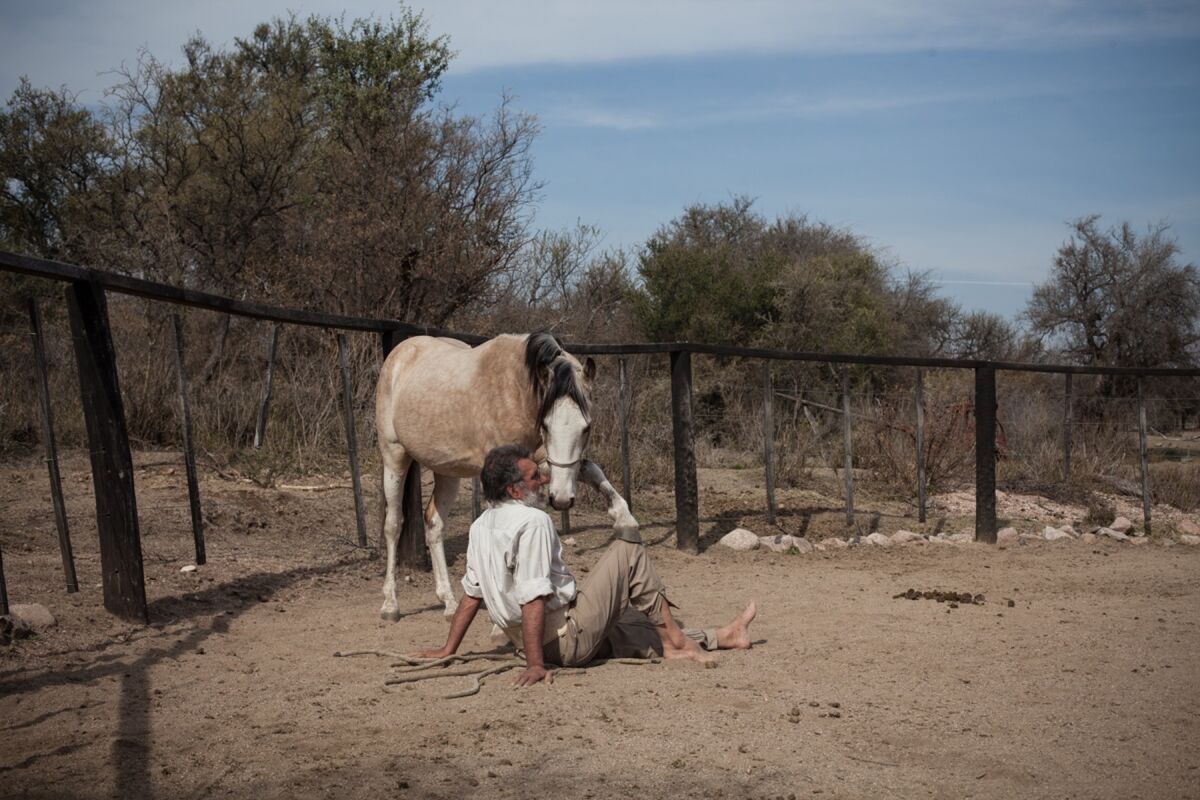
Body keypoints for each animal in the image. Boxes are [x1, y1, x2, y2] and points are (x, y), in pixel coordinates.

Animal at [374, 332, 639, 620]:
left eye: (586, 427)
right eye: (546, 425)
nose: (561, 499)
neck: (517, 390)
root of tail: (400, 353)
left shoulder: (540, 461)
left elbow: (589, 469)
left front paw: (625, 521)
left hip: (447, 471)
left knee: (434, 524)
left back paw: (449, 602)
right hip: (394, 457)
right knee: (393, 524)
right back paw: (390, 604)